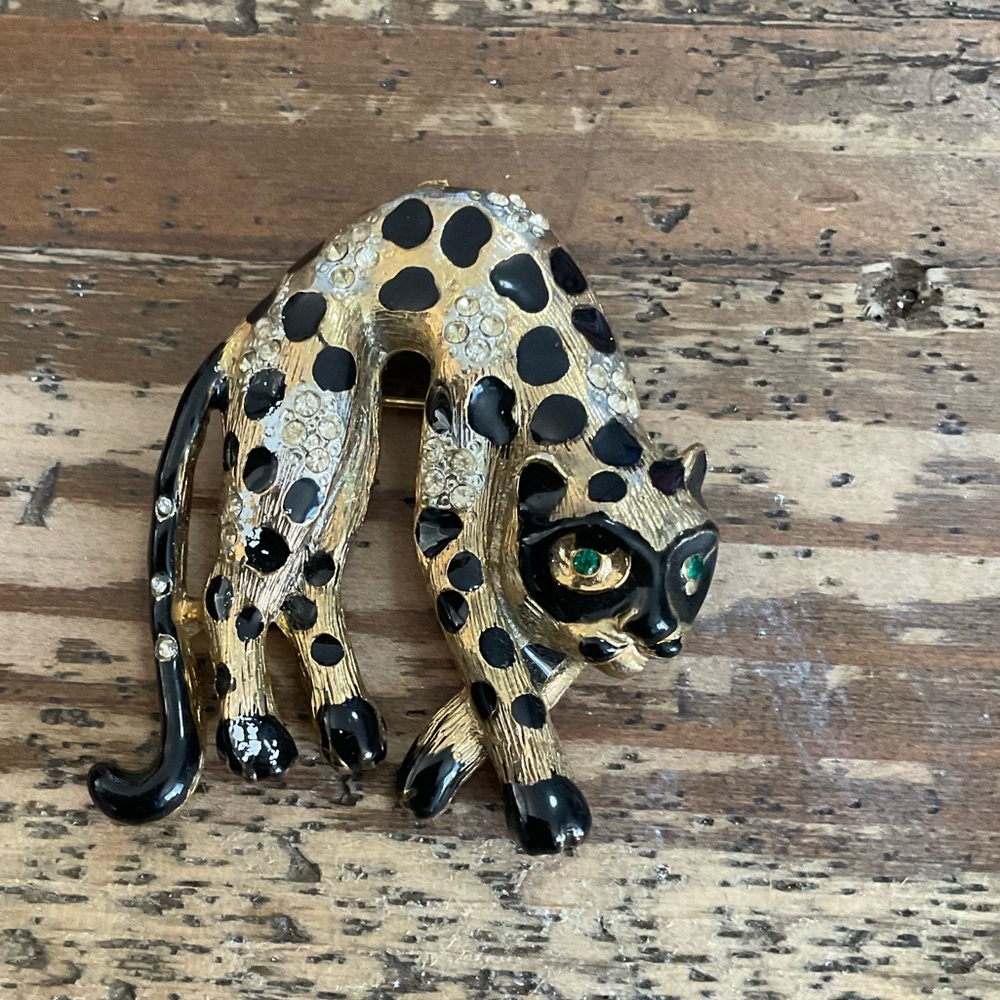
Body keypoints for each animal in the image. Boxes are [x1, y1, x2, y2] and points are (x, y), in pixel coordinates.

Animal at [88, 184, 719, 854]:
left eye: (691, 570)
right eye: (592, 562)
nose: (661, 636)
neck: (575, 405)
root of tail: (253, 319)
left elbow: (544, 647)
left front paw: (437, 761)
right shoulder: (452, 522)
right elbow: (504, 670)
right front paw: (546, 805)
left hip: (349, 449)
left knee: (307, 586)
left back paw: (347, 722)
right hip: (305, 449)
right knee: (230, 594)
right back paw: (253, 738)